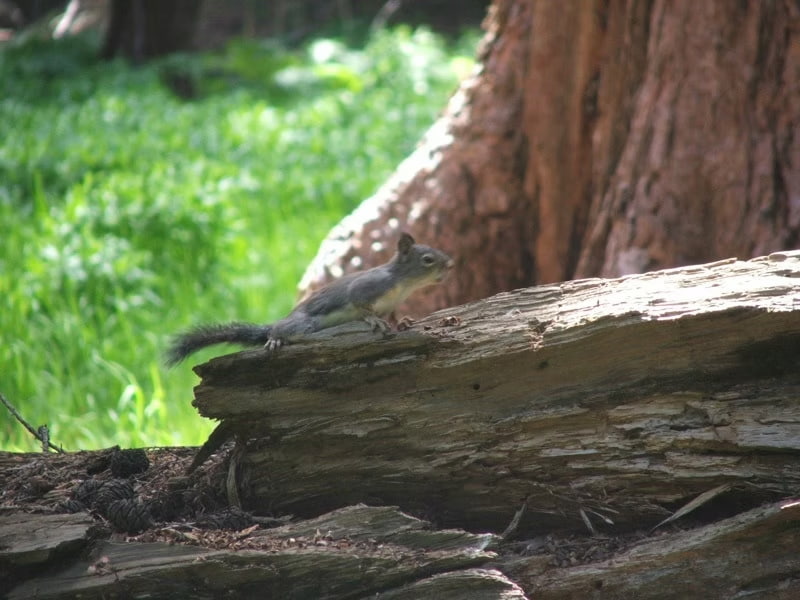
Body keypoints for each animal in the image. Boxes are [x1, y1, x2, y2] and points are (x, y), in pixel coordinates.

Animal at [165, 232, 453, 366]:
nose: (450, 264)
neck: (403, 285)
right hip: (304, 324)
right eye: (428, 259)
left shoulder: (392, 303)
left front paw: (404, 321)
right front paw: (373, 320)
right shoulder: (366, 287)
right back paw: (275, 338)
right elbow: (360, 304)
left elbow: (394, 315)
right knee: (284, 330)